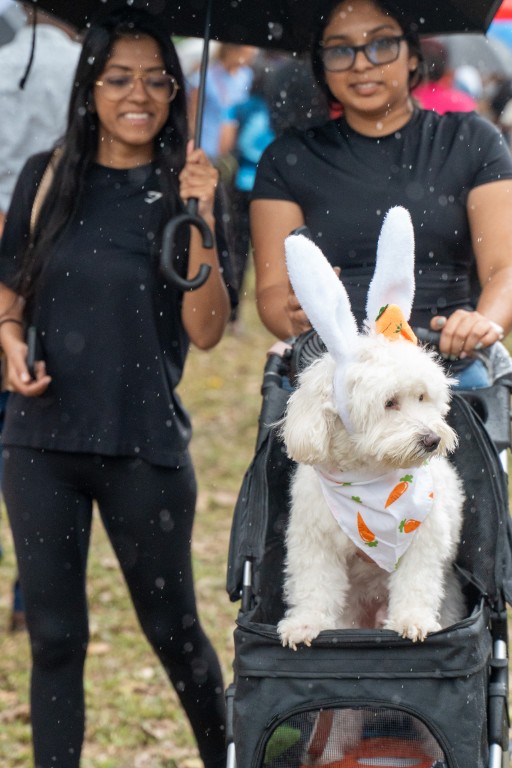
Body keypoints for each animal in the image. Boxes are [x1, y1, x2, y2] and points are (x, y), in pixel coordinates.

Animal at [277, 207, 465, 649]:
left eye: (422, 397)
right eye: (389, 403)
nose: (432, 439)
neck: (370, 479)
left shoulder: (423, 541)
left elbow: (415, 583)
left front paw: (412, 621)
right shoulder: (313, 542)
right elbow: (314, 587)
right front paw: (306, 623)